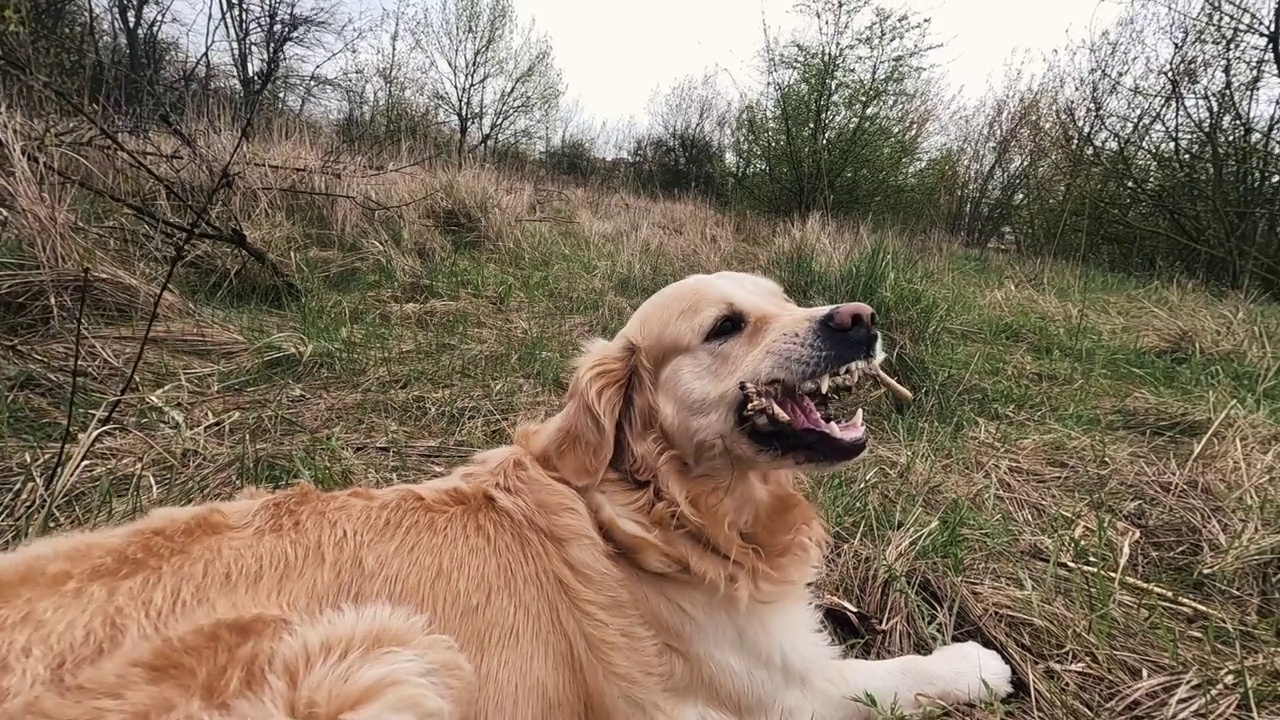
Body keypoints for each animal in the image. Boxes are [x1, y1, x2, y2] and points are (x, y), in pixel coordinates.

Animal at [2, 270, 1008, 717]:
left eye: (788, 296)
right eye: (726, 326)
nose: (859, 319)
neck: (653, 507)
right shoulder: (782, 696)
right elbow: (892, 676)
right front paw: (974, 662)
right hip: (386, 657)